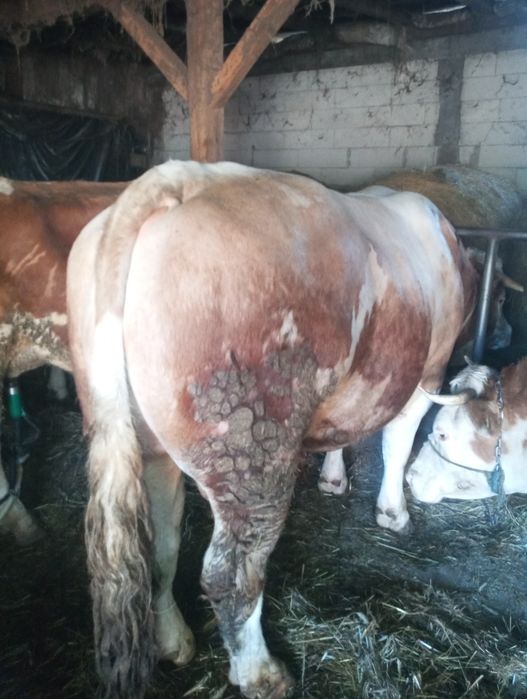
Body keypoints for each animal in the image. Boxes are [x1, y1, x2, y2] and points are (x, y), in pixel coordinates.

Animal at [67, 160, 487, 699]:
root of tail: (177, 178)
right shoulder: (427, 370)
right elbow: (398, 441)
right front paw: (393, 512)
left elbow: (344, 430)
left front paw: (333, 479)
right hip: (252, 456)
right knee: (231, 572)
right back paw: (261, 673)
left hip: (145, 440)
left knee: (160, 545)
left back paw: (174, 641)